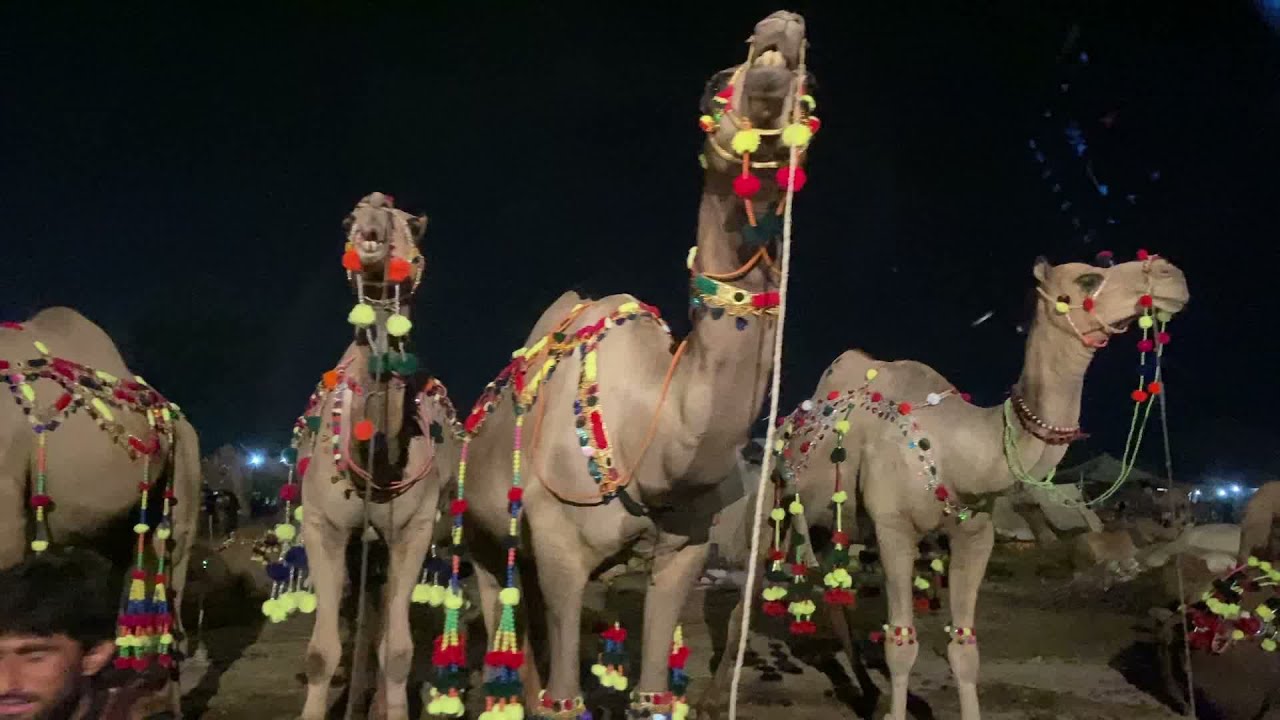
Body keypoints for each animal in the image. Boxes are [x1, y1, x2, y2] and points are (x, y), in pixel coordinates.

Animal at [283, 192, 463, 720]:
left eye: (413, 229)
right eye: (349, 218)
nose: (373, 210)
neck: (380, 457)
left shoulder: (413, 528)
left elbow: (399, 651)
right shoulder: (324, 524)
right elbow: (322, 653)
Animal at [440, 12, 818, 720]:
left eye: (810, 97)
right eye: (714, 84)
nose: (778, 33)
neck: (659, 431)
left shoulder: (684, 551)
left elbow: (651, 691)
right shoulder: (561, 547)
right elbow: (564, 693)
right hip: (480, 533)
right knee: (506, 618)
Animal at [702, 252, 1190, 719]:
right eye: (1089, 279)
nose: (1172, 274)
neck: (959, 447)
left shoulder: (976, 532)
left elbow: (966, 648)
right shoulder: (893, 528)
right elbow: (901, 644)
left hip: (828, 524)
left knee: (831, 593)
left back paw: (867, 692)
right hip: (775, 501)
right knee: (745, 595)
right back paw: (715, 695)